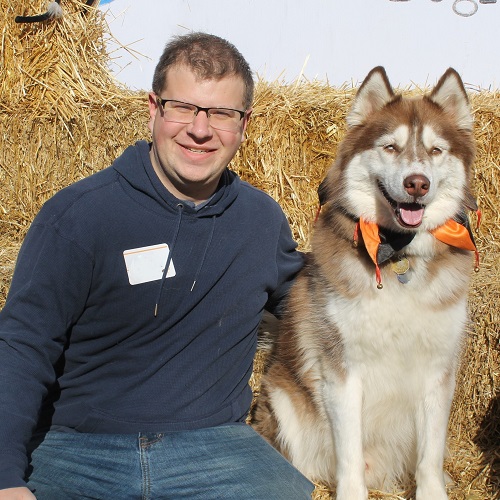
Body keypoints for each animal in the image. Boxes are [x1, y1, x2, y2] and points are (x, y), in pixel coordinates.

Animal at [251, 67, 479, 500]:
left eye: (436, 151)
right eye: (390, 147)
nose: (417, 183)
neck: (397, 257)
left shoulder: (438, 369)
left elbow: (430, 454)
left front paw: (433, 490)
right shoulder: (341, 369)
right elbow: (350, 452)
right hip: (282, 398)